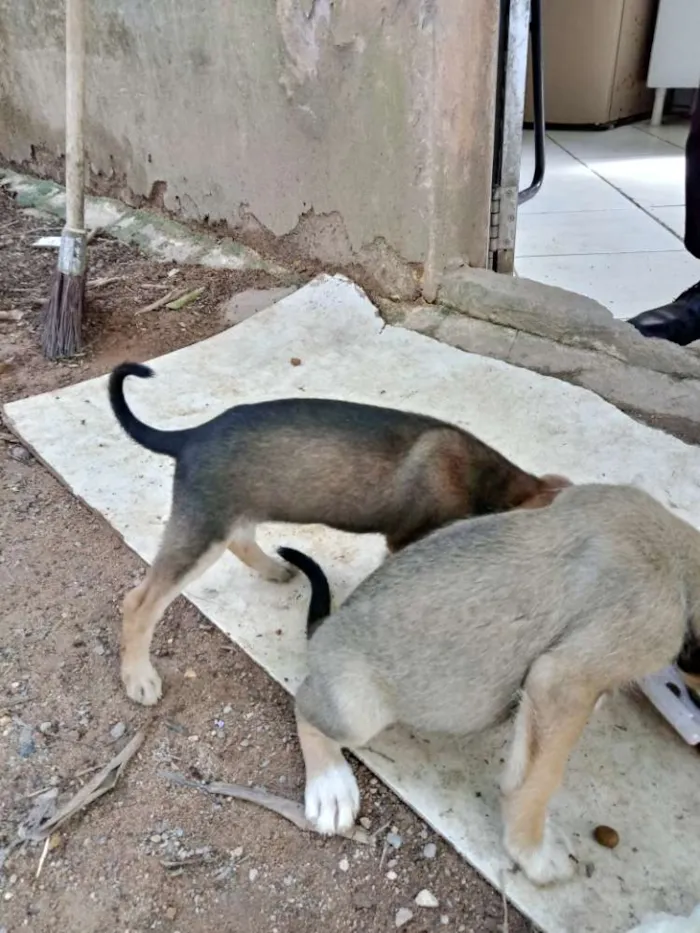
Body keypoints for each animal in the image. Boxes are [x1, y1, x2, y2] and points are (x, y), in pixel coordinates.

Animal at [108, 360, 568, 704]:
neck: (489, 483)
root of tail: (190, 436)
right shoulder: (404, 542)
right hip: (201, 531)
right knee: (139, 603)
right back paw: (138, 678)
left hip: (232, 515)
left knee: (241, 541)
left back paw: (275, 569)